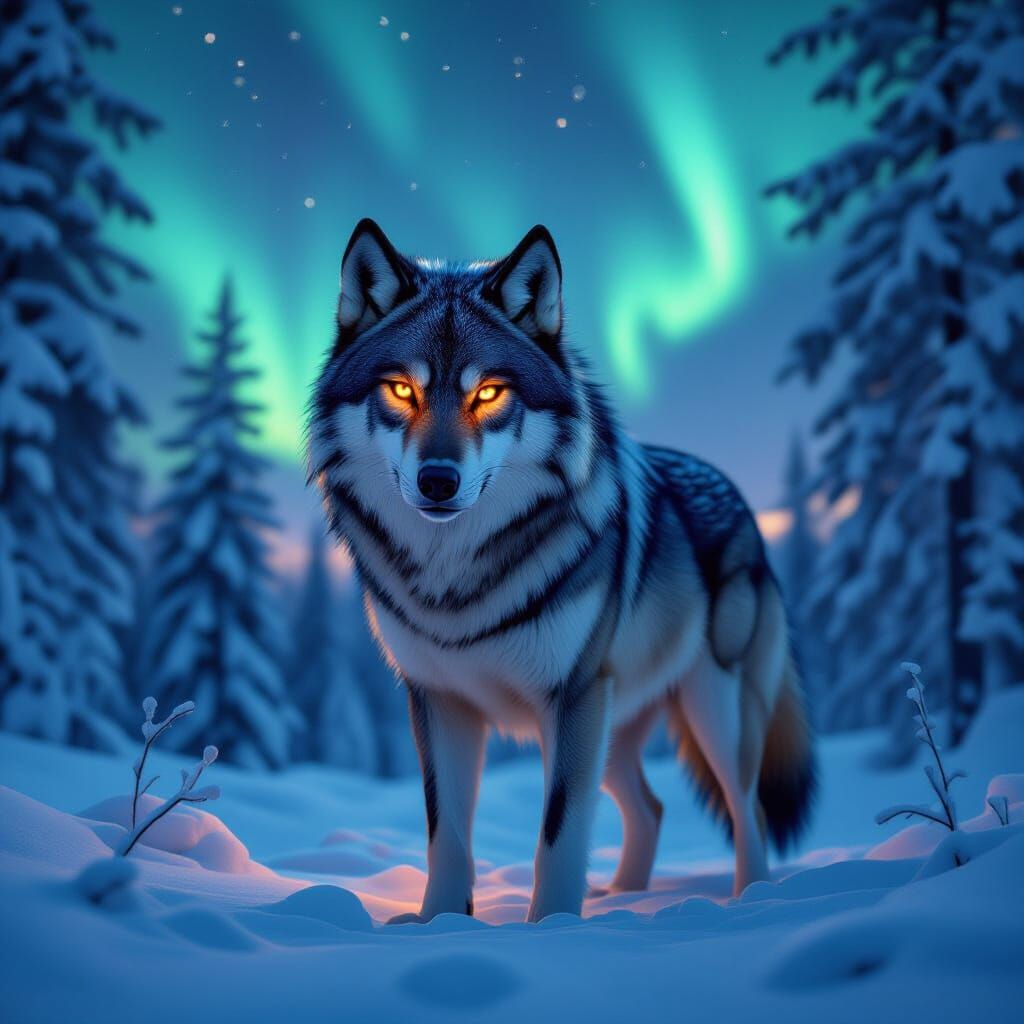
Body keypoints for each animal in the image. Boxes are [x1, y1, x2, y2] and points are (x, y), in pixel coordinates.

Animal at [308, 219, 815, 923]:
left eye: (489, 392)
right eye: (402, 389)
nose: (438, 481)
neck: (455, 577)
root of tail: (737, 494)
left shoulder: (571, 697)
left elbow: (559, 832)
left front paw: (550, 929)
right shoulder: (438, 700)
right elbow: (447, 834)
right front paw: (438, 924)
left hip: (709, 708)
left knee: (749, 812)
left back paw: (750, 902)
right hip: (616, 726)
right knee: (652, 808)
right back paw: (625, 899)